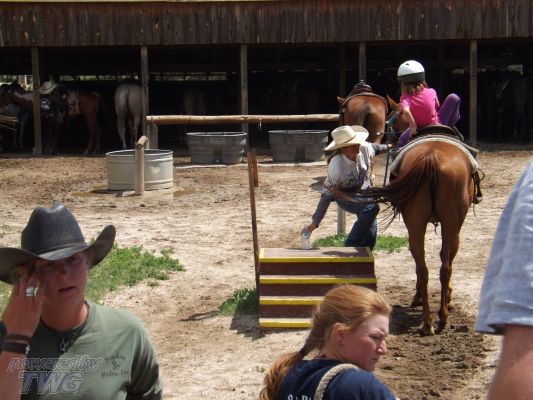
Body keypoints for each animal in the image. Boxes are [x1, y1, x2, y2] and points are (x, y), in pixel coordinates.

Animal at [363, 136, 476, 335]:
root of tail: (432, 158)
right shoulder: (455, 230)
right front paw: (448, 297)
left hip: (415, 224)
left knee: (423, 268)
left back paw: (428, 322)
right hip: (451, 224)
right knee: (445, 268)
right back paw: (441, 317)